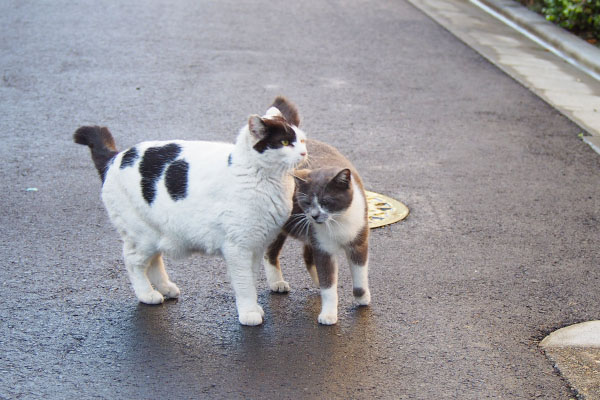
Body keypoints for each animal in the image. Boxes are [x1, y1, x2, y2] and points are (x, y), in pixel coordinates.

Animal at [74, 97, 308, 324]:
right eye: (285, 142)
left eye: (302, 140)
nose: (304, 152)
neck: (267, 180)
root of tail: (115, 158)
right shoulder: (238, 248)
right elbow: (244, 285)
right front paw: (249, 312)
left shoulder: (256, 246)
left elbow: (251, 279)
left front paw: (255, 307)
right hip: (141, 236)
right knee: (133, 262)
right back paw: (147, 294)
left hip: (157, 234)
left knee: (154, 260)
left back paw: (166, 288)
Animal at [264, 138, 370, 324]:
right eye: (306, 202)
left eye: (326, 201)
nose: (314, 215)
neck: (337, 221)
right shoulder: (323, 246)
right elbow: (328, 282)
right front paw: (328, 315)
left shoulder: (359, 240)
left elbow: (360, 273)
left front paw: (362, 298)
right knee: (270, 252)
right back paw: (277, 283)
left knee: (307, 256)